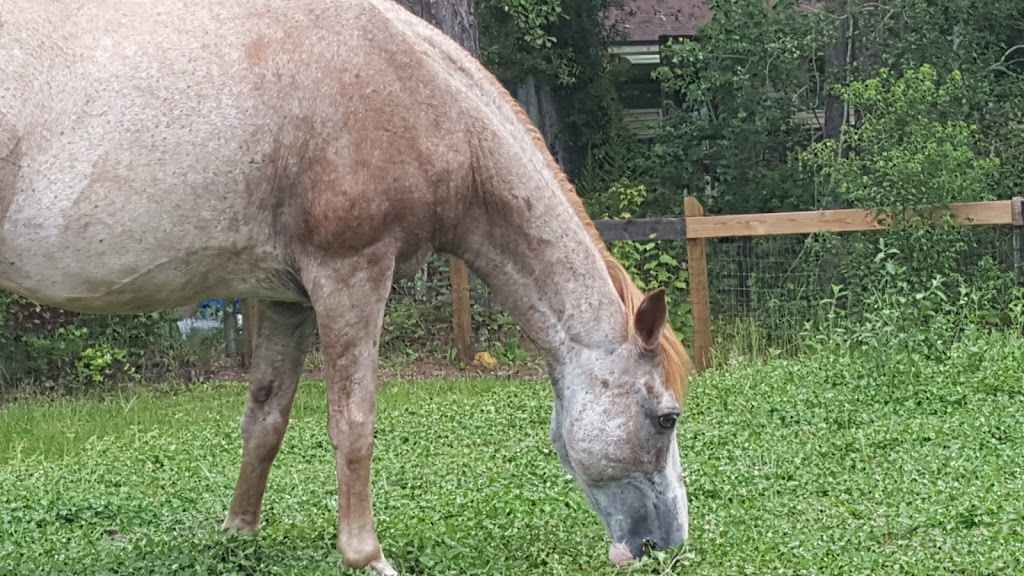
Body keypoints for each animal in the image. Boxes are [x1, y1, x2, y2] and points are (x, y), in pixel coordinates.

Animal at [0, 2, 696, 569]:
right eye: (666, 418)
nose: (666, 544)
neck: (412, 86)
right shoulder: (351, 275)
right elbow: (354, 423)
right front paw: (365, 555)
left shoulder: (287, 298)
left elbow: (266, 417)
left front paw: (239, 531)